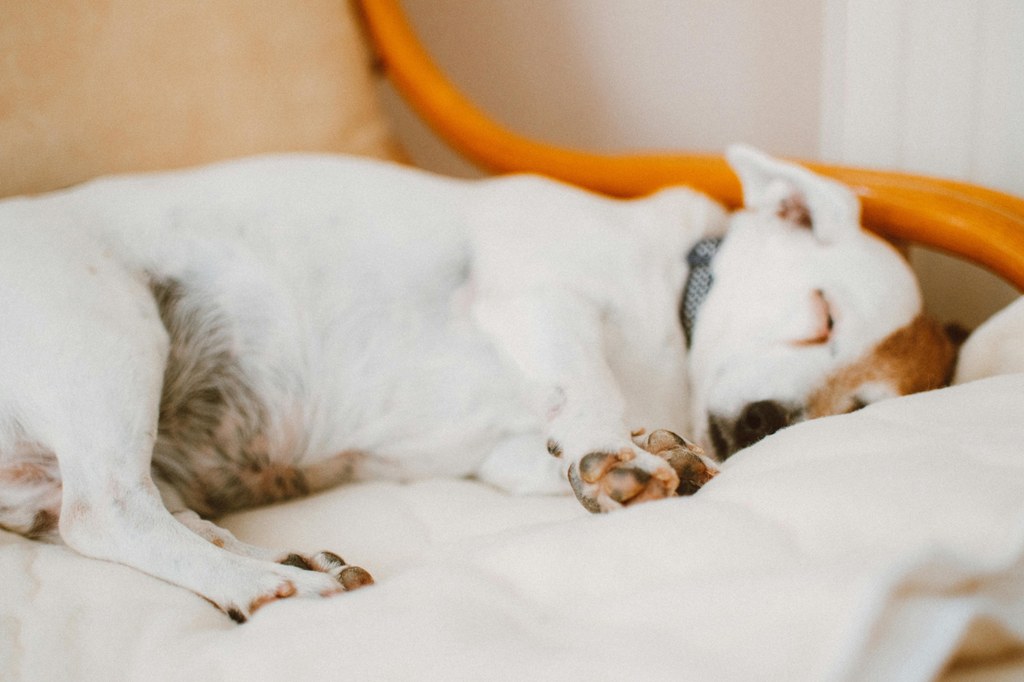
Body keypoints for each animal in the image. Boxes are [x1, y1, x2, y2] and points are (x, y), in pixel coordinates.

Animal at [0, 146, 954, 618]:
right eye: (819, 315)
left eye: (850, 410)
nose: (766, 420)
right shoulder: (538, 299)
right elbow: (592, 392)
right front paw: (621, 451)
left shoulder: (501, 452)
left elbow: (569, 447)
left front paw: (656, 457)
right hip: (111, 333)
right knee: (108, 515)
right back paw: (271, 586)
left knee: (152, 516)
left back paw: (281, 558)